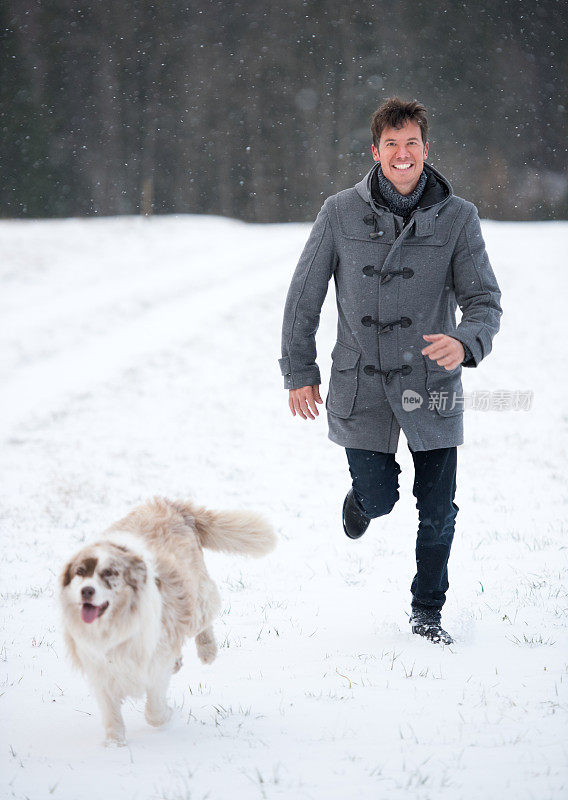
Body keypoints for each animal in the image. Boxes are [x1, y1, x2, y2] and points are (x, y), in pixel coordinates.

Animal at [58, 496, 276, 748]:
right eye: (80, 572)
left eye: (109, 573)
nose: (86, 591)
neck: (117, 624)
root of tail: (171, 504)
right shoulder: (101, 670)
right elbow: (111, 714)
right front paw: (115, 745)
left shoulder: (153, 666)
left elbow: (154, 712)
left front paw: (169, 716)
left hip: (194, 597)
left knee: (205, 616)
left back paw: (207, 651)